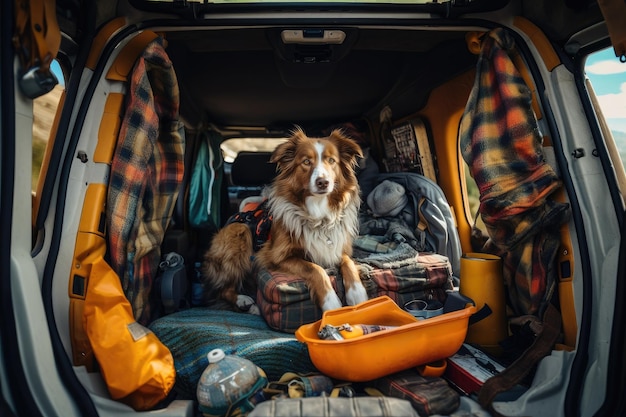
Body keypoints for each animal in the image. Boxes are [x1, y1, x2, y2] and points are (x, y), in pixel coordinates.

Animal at [200, 127, 368, 312]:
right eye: (306, 162)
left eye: (332, 161)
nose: (323, 182)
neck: (318, 215)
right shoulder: (275, 257)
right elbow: (314, 268)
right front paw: (330, 302)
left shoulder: (338, 249)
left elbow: (348, 262)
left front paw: (358, 293)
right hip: (238, 232)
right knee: (222, 289)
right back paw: (243, 300)